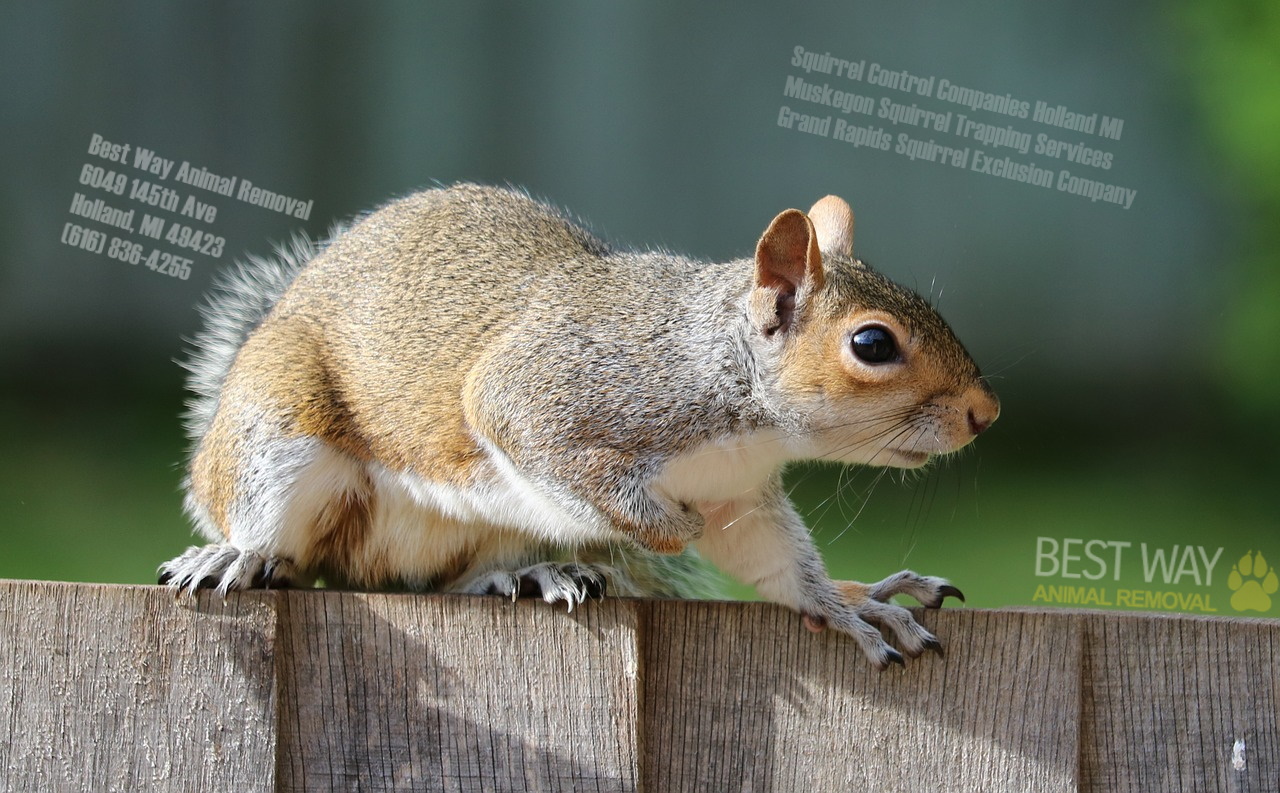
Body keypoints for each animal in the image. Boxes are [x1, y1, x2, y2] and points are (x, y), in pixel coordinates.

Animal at [160, 184, 998, 670]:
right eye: (872, 344)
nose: (984, 413)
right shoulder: (547, 395)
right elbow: (548, 449)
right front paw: (664, 527)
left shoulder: (738, 495)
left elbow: (775, 563)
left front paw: (848, 604)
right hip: (277, 432)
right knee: (280, 537)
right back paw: (235, 554)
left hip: (478, 535)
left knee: (439, 580)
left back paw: (529, 572)